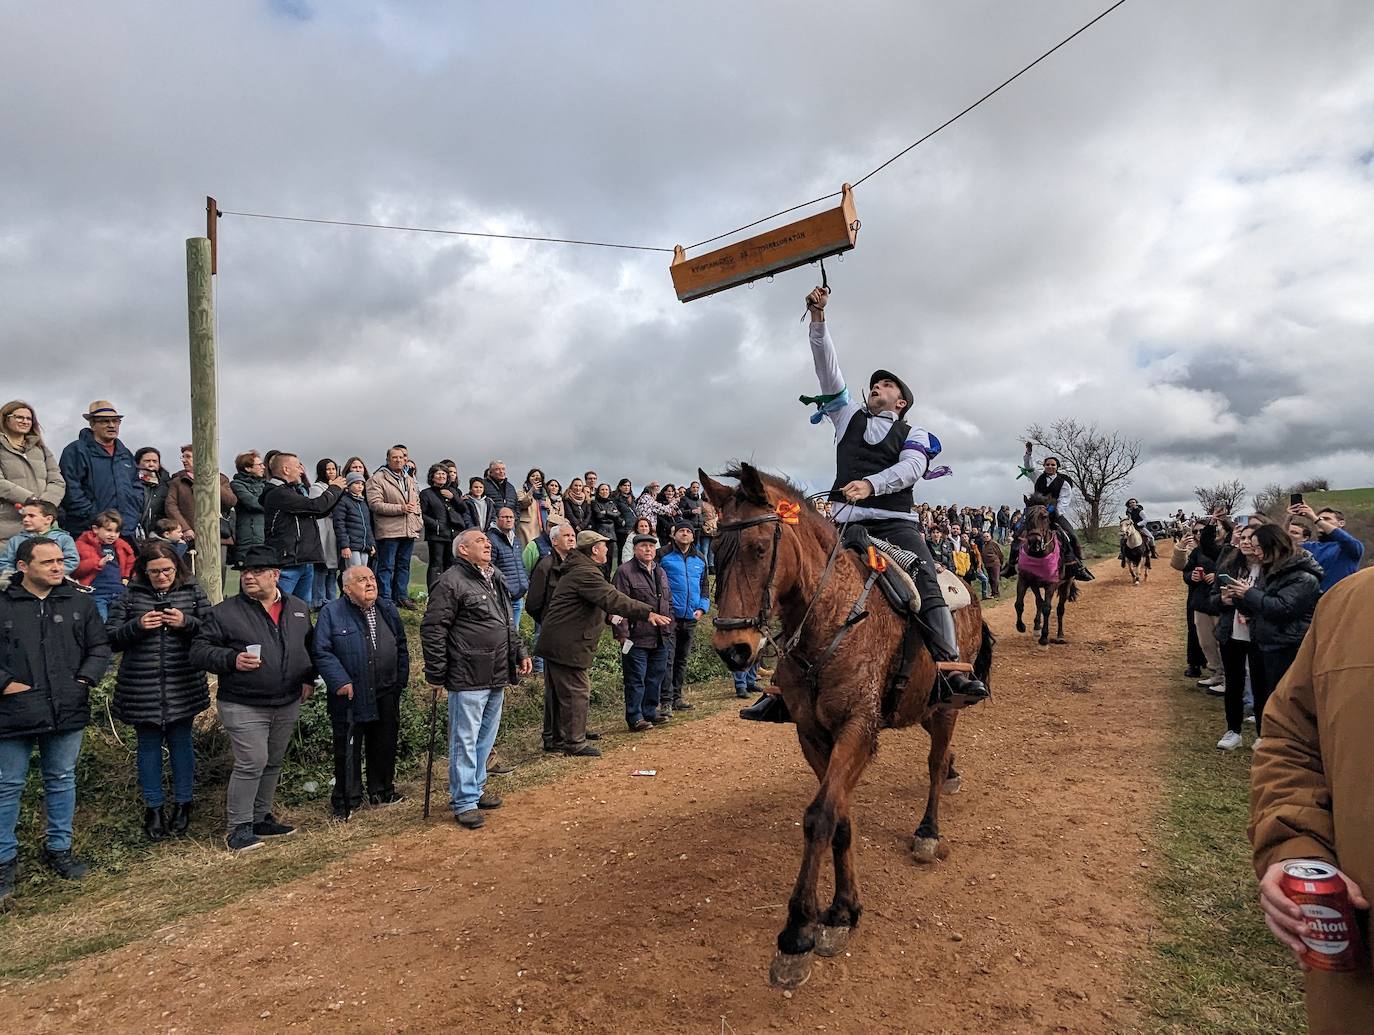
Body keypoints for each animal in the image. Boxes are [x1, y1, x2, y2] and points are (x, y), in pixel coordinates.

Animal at [703, 464, 994, 989]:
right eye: (715, 550)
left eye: (758, 547)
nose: (733, 649)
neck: (833, 616)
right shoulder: (813, 735)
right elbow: (839, 818)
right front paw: (842, 911)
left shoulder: (858, 730)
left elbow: (820, 816)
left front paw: (799, 932)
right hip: (920, 707)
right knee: (940, 756)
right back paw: (955, 773)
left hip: (945, 706)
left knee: (935, 761)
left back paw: (928, 830)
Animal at [1016, 494, 1077, 643]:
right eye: (1027, 517)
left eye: (1044, 516)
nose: (1034, 542)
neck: (1038, 554)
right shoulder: (1025, 580)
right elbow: (1020, 604)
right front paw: (1021, 626)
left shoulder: (1051, 584)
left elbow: (1047, 608)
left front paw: (1044, 636)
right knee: (1039, 602)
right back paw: (1037, 627)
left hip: (1066, 584)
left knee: (1060, 608)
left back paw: (1060, 635)